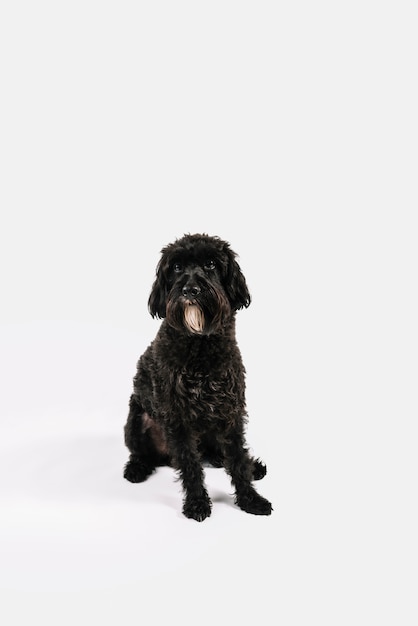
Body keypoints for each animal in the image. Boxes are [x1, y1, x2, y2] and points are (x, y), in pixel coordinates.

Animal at [124, 232, 272, 520]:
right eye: (176, 267)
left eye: (211, 264)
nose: (190, 290)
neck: (200, 346)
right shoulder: (177, 416)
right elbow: (190, 464)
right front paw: (197, 503)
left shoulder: (231, 409)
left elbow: (237, 458)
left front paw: (251, 499)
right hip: (135, 419)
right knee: (141, 452)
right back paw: (136, 468)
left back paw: (242, 463)